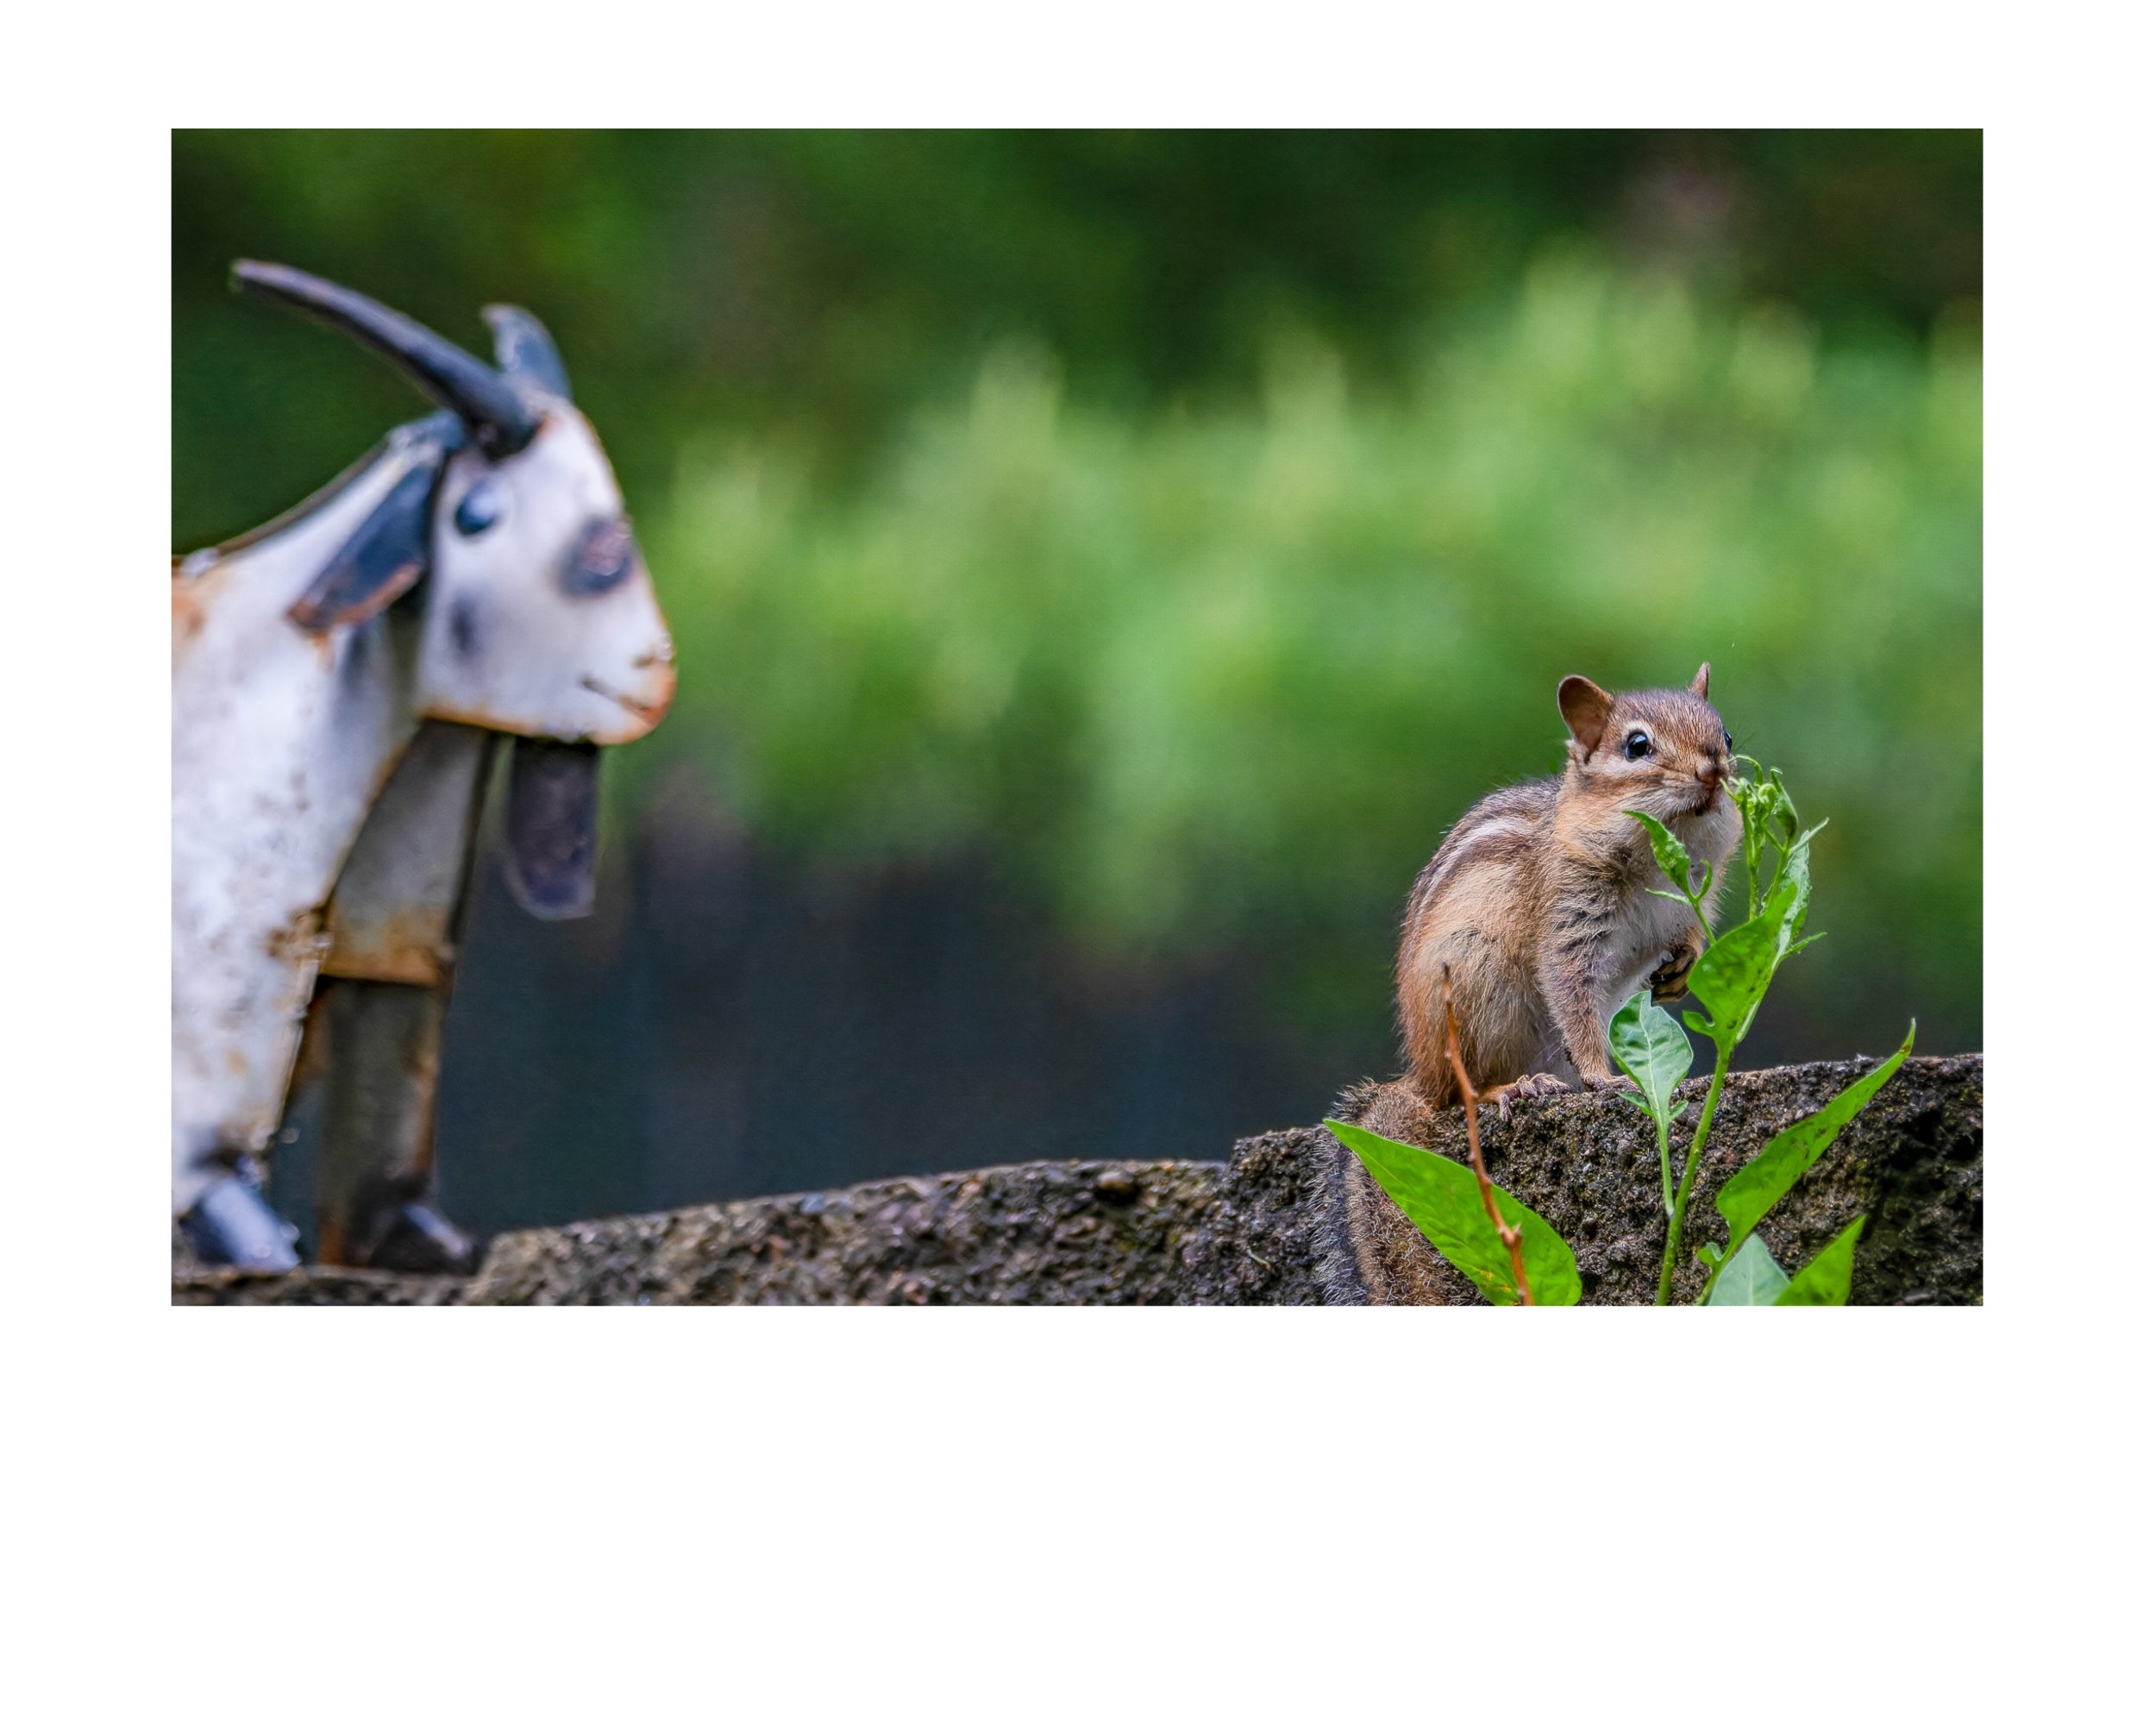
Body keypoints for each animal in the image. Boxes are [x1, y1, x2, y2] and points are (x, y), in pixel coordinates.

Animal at [1329, 665, 1742, 1301]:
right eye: (1637, 746)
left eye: (1726, 735)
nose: (1714, 770)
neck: (1656, 858)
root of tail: (1418, 1077)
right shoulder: (1568, 925)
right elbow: (1570, 993)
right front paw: (1602, 1077)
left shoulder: (1690, 904)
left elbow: (1689, 940)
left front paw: (1681, 971)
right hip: (1478, 991)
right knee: (1460, 1095)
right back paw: (1513, 1090)